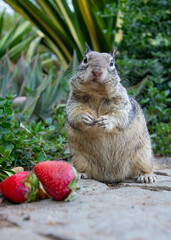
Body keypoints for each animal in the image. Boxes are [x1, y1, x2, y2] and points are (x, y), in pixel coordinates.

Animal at [65, 43, 156, 183]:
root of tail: (111, 176)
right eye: (85, 59)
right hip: (79, 158)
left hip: (143, 155)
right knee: (84, 169)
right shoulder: (73, 103)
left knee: (144, 167)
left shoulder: (123, 105)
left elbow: (120, 116)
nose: (97, 72)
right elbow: (74, 114)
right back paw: (80, 174)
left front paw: (106, 121)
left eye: (112, 62)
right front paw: (85, 117)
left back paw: (147, 176)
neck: (97, 94)